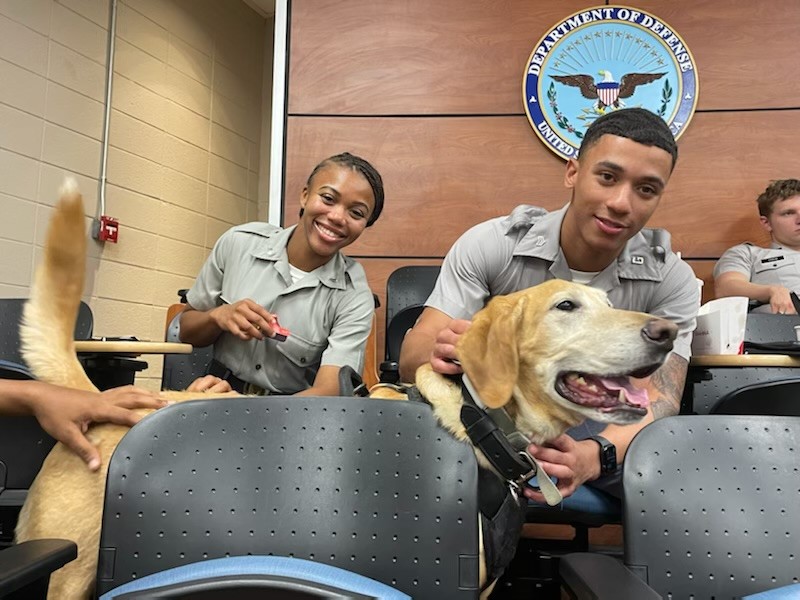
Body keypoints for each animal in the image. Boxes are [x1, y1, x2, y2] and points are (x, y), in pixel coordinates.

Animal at [15, 180, 676, 596]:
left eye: (608, 302)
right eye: (567, 306)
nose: (668, 332)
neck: (483, 426)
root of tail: (98, 399)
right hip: (69, 573)